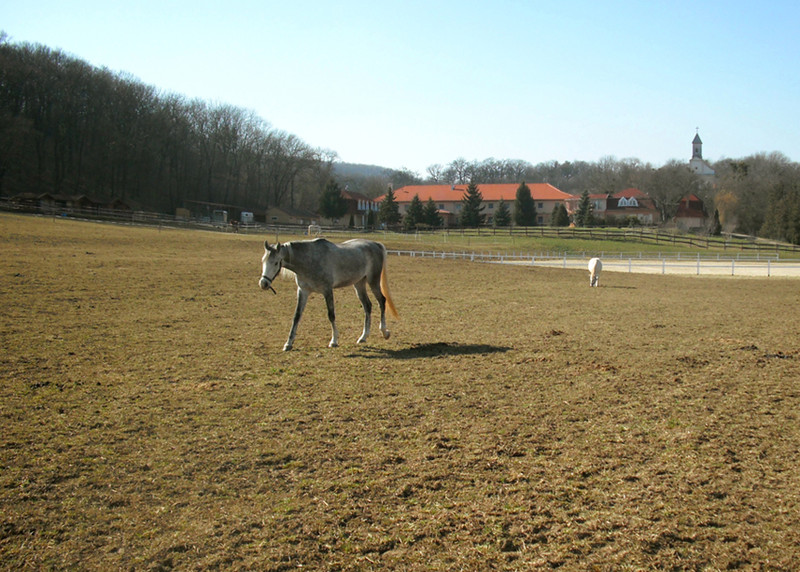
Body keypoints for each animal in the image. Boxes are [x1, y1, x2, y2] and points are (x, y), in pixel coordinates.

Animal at [260, 238, 398, 354]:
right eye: (263, 261)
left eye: (276, 263)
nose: (263, 283)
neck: (309, 260)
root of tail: (375, 244)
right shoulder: (303, 291)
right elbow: (296, 316)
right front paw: (288, 344)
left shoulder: (327, 291)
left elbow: (331, 315)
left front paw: (334, 341)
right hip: (359, 284)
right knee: (367, 306)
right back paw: (363, 337)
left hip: (373, 281)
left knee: (382, 301)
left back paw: (384, 332)